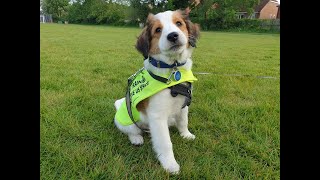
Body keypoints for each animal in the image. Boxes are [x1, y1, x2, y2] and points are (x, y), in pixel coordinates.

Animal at [114, 9, 200, 174]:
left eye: (178, 23)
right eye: (158, 30)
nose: (173, 35)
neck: (173, 70)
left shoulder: (183, 105)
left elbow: (183, 121)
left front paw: (186, 135)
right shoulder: (157, 116)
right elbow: (165, 143)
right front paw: (170, 164)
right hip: (125, 121)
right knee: (132, 131)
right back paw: (136, 139)